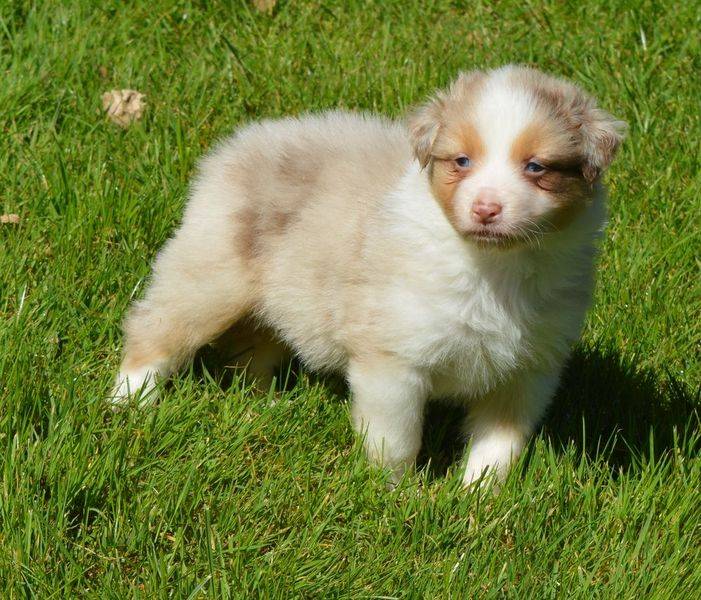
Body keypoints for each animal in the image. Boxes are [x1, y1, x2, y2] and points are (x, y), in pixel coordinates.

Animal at [110, 65, 625, 486]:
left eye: (536, 167)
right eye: (461, 161)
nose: (486, 208)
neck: (494, 267)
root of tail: (242, 142)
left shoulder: (528, 369)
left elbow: (499, 443)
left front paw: (477, 499)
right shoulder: (393, 359)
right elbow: (396, 440)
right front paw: (392, 496)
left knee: (252, 348)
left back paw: (261, 405)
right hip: (210, 273)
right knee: (154, 329)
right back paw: (127, 404)